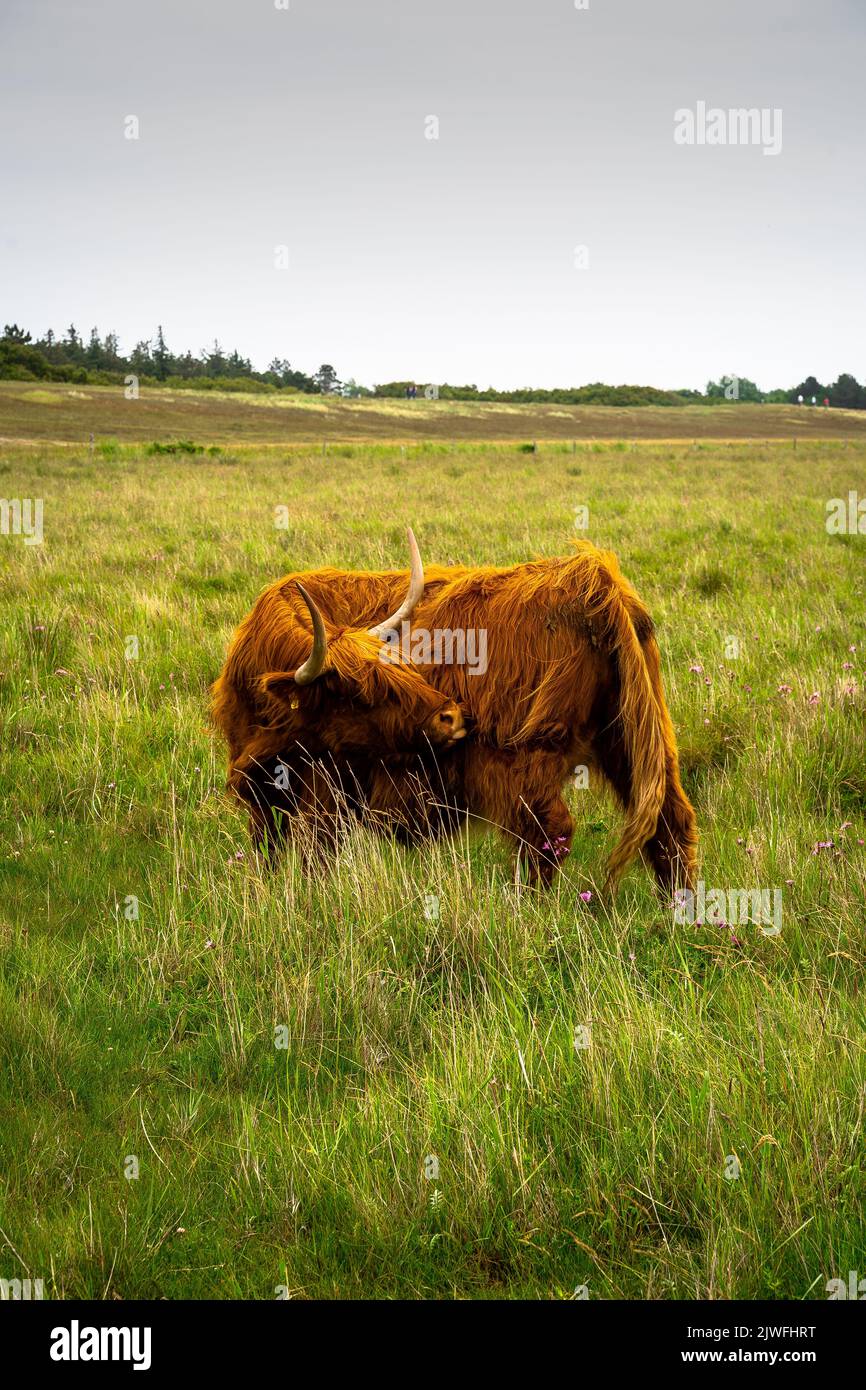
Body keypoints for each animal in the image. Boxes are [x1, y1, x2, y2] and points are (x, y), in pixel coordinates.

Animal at [232, 540, 698, 894]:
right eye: (360, 694)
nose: (451, 717)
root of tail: (595, 580)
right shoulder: (266, 792)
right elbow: (270, 851)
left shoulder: (324, 781)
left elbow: (315, 850)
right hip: (636, 740)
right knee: (670, 823)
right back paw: (678, 911)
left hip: (529, 756)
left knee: (547, 833)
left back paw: (529, 910)